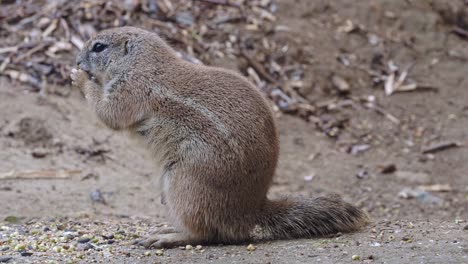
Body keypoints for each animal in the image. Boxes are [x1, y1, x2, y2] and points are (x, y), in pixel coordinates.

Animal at [70, 27, 370, 250]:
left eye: (98, 47)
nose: (76, 61)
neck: (142, 62)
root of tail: (252, 208)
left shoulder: (130, 89)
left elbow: (109, 114)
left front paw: (79, 78)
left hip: (183, 182)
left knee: (203, 233)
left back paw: (166, 237)